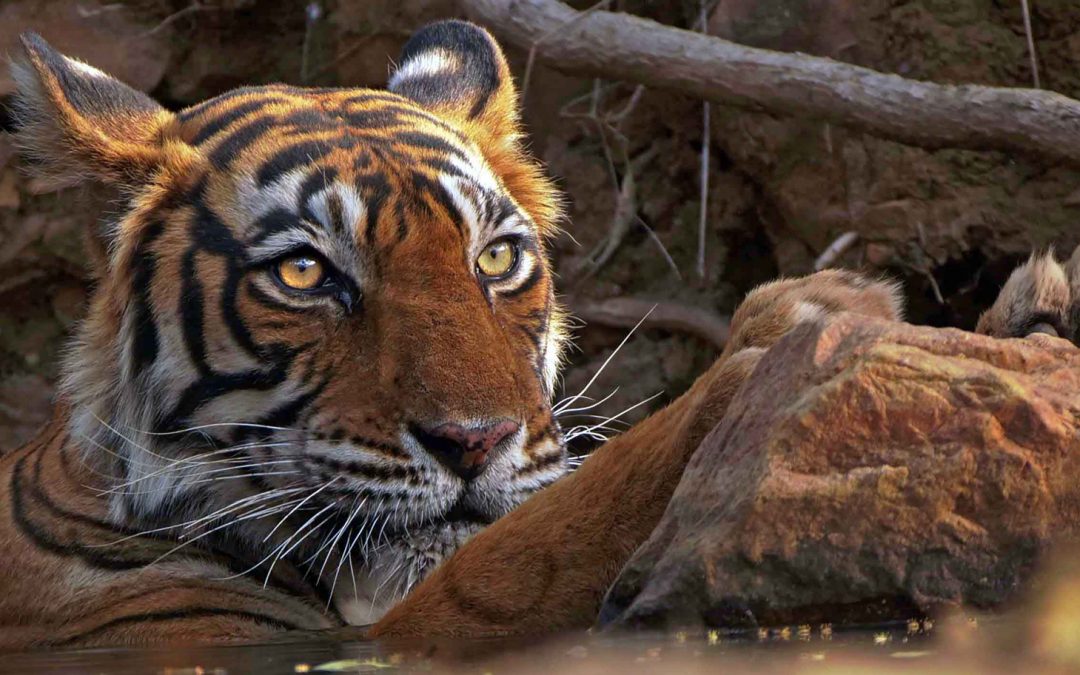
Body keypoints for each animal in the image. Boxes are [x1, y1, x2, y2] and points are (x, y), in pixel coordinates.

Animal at [2, 17, 1076, 651]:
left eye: (495, 259)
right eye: (305, 274)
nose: (475, 443)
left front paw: (1032, 311)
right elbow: (534, 551)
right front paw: (806, 326)